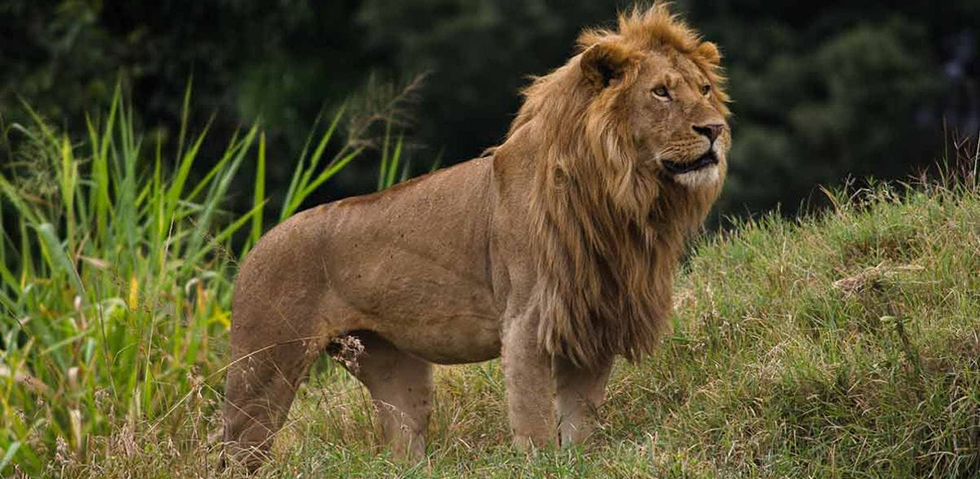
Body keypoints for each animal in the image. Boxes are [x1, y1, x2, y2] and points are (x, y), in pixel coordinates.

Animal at [223, 3, 730, 470]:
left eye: (705, 89)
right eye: (661, 92)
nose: (715, 129)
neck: (622, 195)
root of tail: (255, 247)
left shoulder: (593, 317)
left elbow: (580, 420)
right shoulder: (526, 322)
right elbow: (535, 421)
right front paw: (540, 464)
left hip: (393, 370)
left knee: (402, 446)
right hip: (262, 372)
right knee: (233, 450)